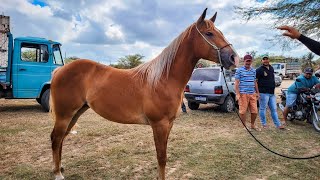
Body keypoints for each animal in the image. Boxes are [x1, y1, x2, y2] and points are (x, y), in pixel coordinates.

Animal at [50, 8, 239, 180]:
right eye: (209, 33)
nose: (234, 58)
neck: (163, 79)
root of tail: (59, 70)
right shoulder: (159, 124)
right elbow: (161, 158)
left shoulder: (169, 124)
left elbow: (163, 155)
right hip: (65, 114)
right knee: (56, 138)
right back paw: (58, 174)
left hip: (76, 112)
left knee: (61, 139)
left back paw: (60, 167)